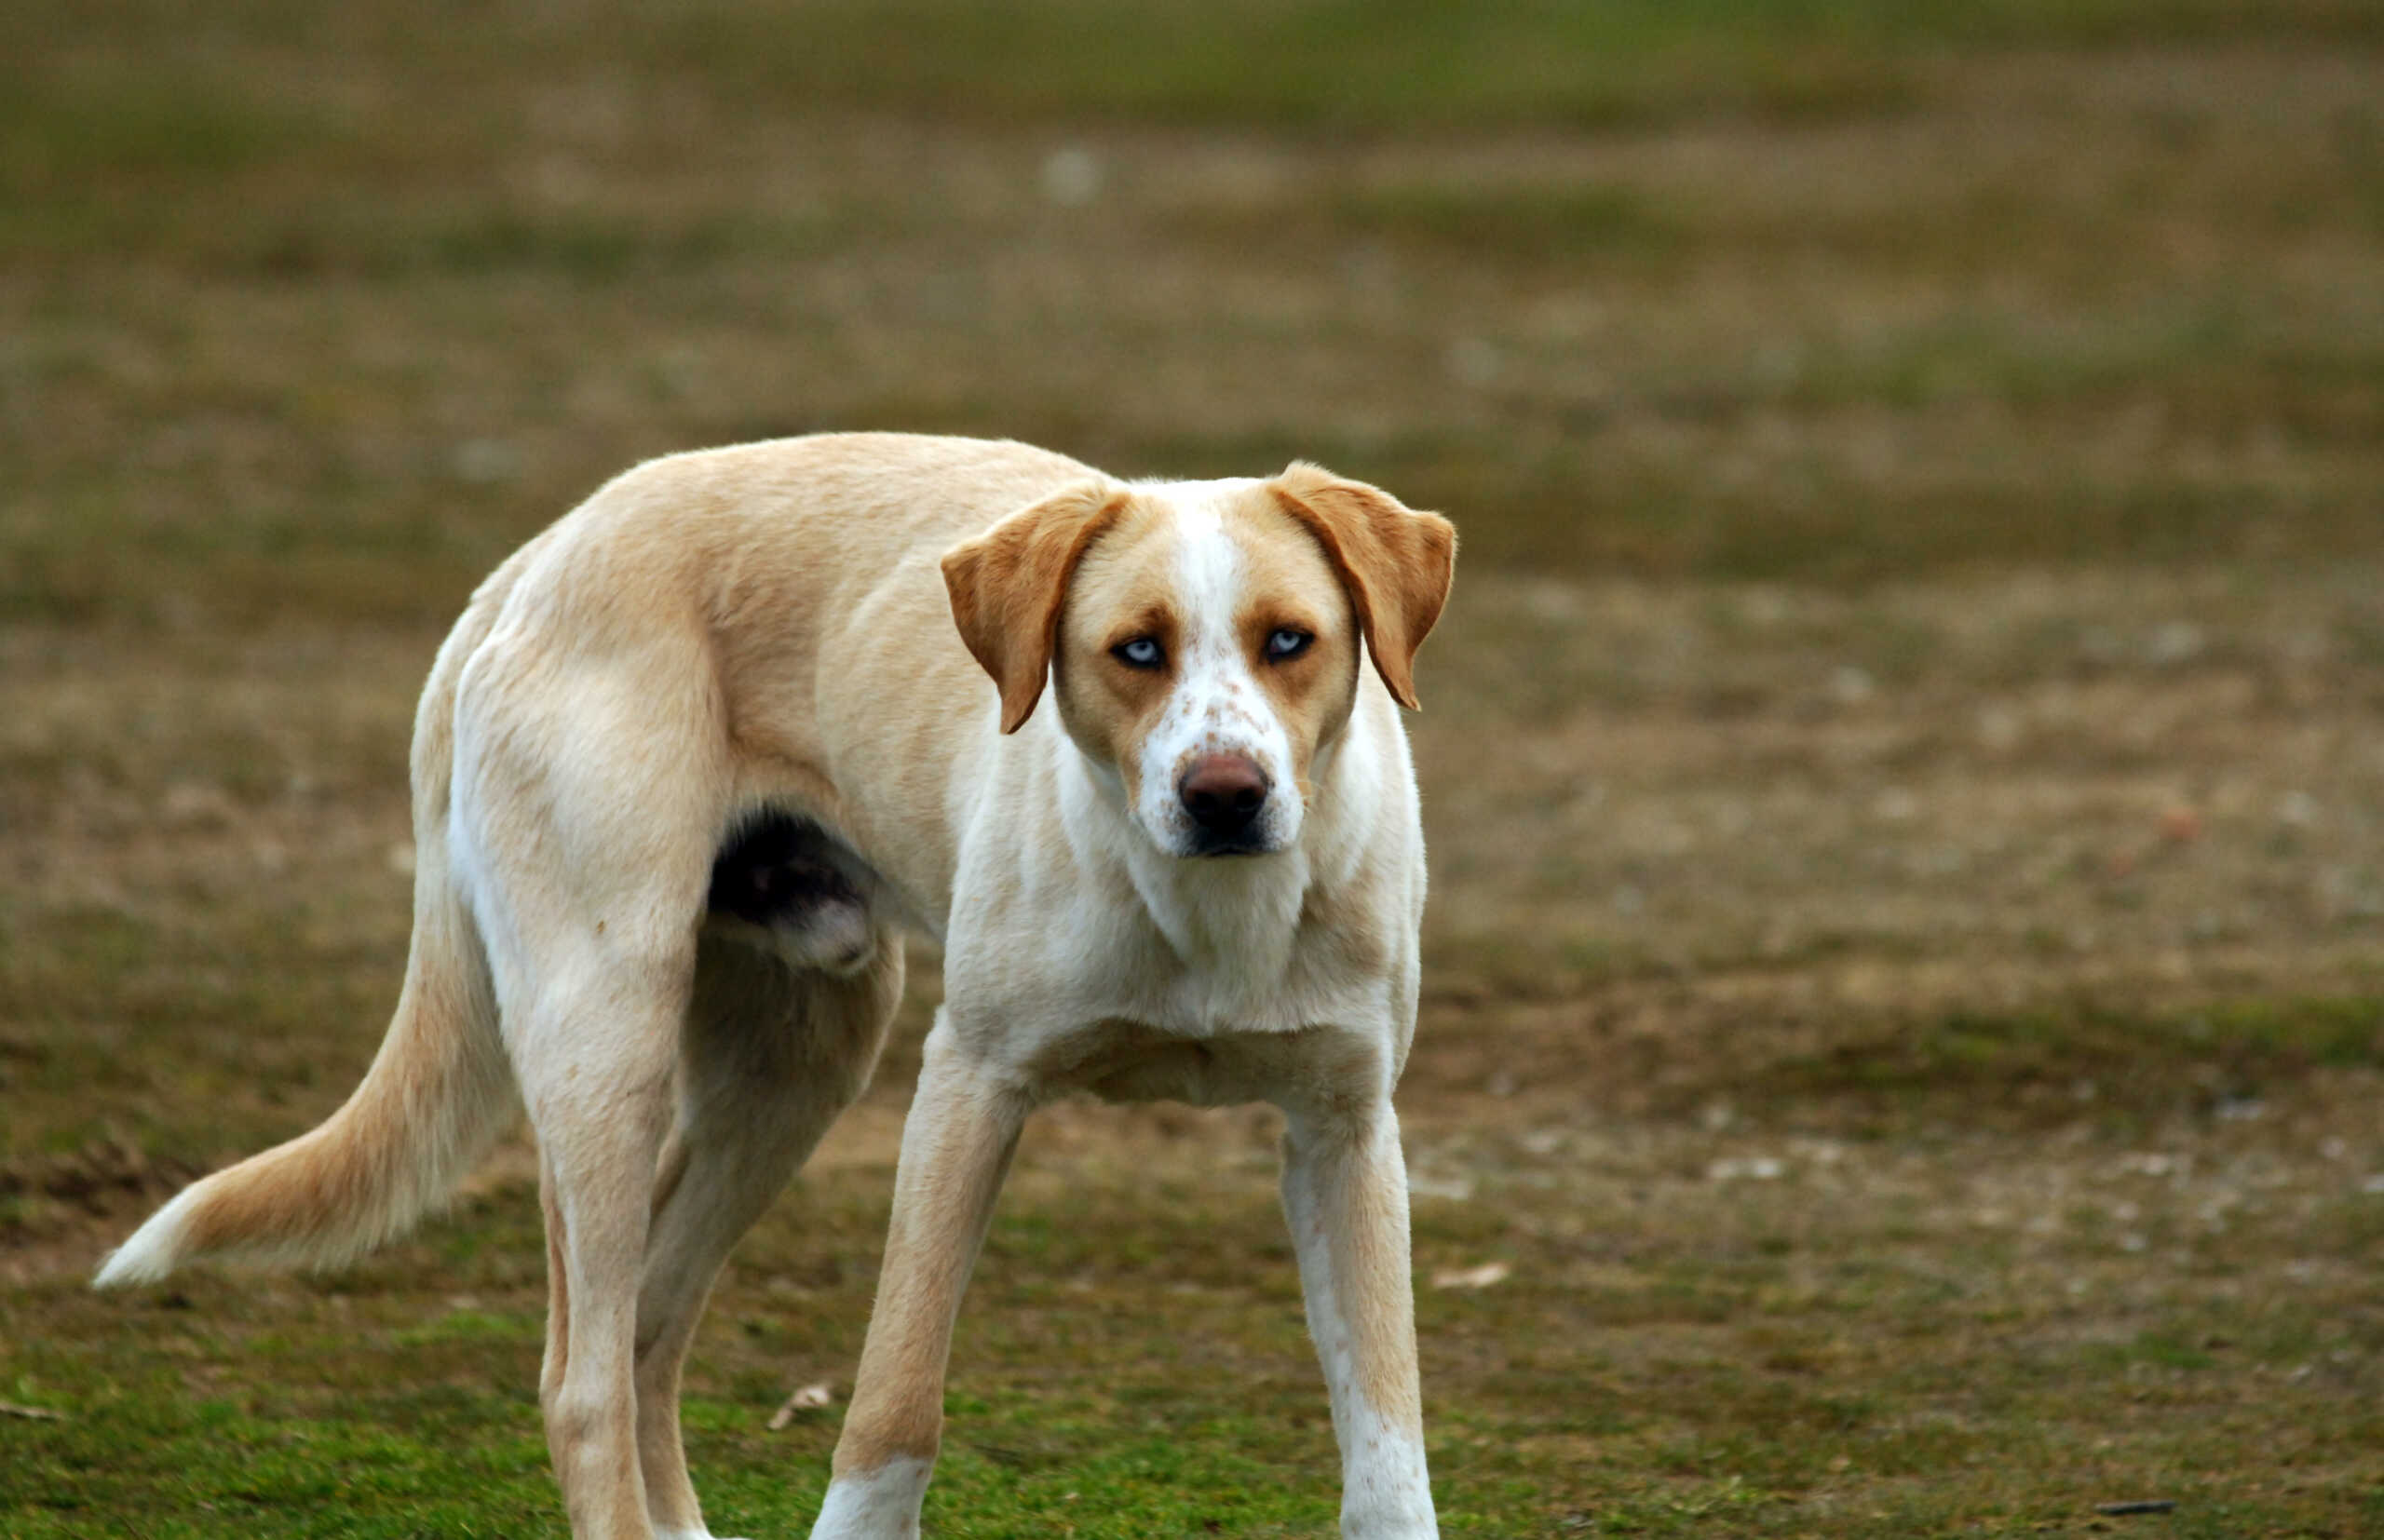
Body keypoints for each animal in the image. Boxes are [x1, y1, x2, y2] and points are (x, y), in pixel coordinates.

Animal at [97, 433, 1449, 1540]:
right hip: (609, 1036)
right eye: (1137, 651)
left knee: (645, 1329)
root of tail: (541, 554)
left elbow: (1388, 1442)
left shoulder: (1345, 1132)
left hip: (796, 1065)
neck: (1209, 915)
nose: (1226, 796)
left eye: (1290, 640)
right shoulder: (967, 1093)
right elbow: (893, 1409)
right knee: (581, 1381)